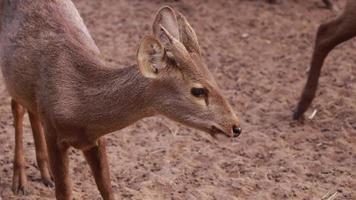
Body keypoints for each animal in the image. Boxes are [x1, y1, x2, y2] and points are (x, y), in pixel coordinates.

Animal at [0, 0, 242, 199]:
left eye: (214, 79)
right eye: (198, 91)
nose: (235, 127)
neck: (79, 106)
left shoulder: (96, 139)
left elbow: (107, 189)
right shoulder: (54, 132)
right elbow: (65, 192)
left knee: (29, 109)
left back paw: (45, 175)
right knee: (16, 107)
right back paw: (19, 182)